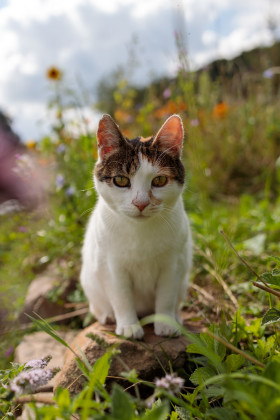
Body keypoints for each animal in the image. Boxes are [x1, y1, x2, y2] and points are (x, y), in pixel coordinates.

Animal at [80, 113, 191, 340]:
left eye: (159, 180)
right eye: (121, 180)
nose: (141, 203)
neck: (140, 232)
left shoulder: (173, 264)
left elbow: (166, 296)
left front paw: (165, 324)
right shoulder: (111, 266)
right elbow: (122, 298)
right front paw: (129, 327)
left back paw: (176, 317)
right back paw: (108, 316)